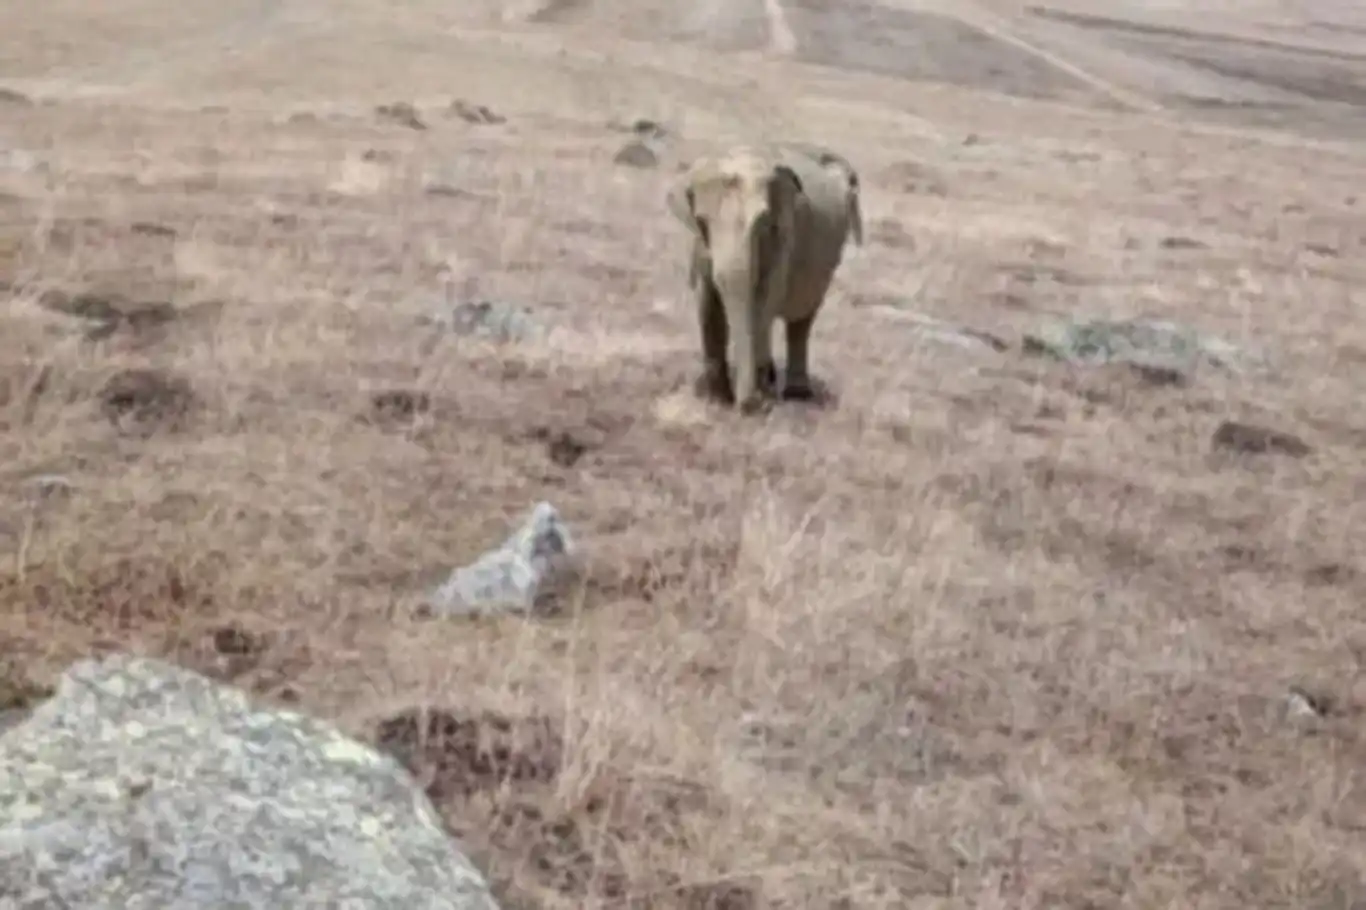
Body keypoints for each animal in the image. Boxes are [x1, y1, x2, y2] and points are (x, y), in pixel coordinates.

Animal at [663, 142, 863, 409]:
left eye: (763, 222)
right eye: (701, 221)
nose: (747, 406)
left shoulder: (783, 236)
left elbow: (765, 296)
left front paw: (756, 398)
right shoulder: (700, 245)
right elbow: (707, 302)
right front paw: (717, 400)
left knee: (801, 320)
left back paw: (795, 393)